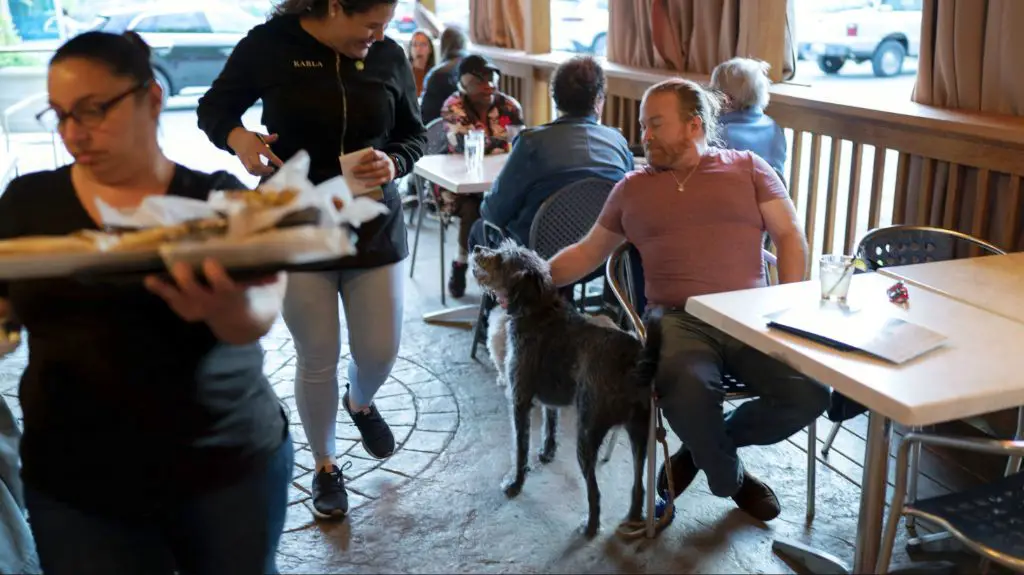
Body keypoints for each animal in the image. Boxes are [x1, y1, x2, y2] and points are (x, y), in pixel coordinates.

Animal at [471, 239, 663, 536]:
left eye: (503, 258)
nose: (478, 248)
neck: (537, 309)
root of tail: (633, 362)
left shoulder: (519, 400)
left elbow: (520, 449)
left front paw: (515, 483)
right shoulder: (551, 400)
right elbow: (550, 426)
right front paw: (547, 452)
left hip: (587, 435)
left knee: (595, 492)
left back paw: (590, 527)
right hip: (640, 434)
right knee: (639, 485)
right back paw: (632, 518)